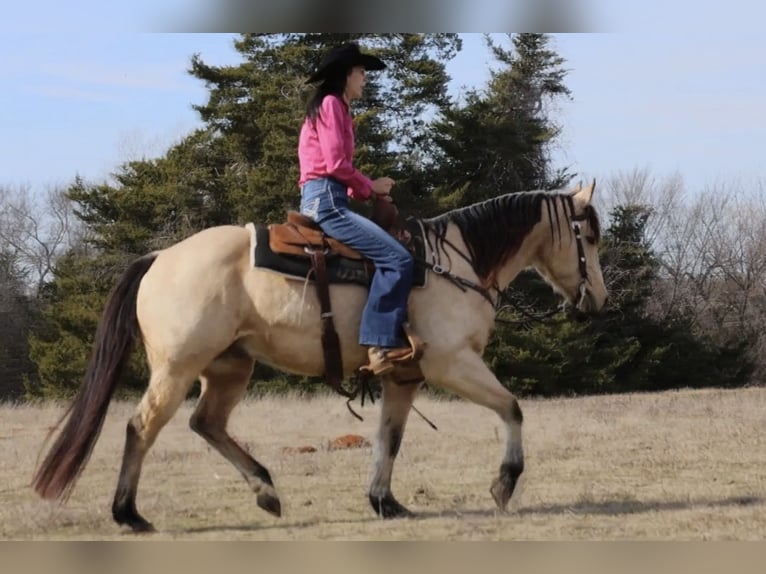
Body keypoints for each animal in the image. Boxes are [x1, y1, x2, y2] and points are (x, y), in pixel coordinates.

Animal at [30, 181, 608, 536]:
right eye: (590, 237)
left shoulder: (404, 377)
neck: (455, 264)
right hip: (177, 369)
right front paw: (504, 484)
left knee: (206, 423)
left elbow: (389, 439)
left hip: (229, 367)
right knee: (141, 428)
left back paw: (266, 491)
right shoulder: (451, 363)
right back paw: (129, 514)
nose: (597, 299)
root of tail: (159, 257)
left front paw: (385, 502)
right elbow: (512, 408)